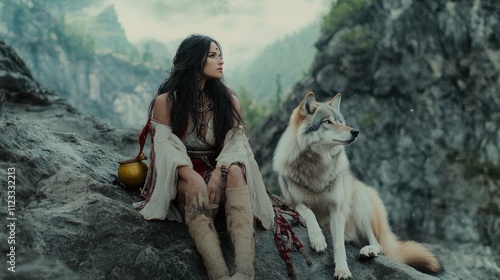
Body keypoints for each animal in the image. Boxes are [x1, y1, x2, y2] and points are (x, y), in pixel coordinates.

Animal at [272, 93, 440, 278]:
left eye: (341, 121)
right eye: (327, 122)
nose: (355, 131)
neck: (317, 168)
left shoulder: (337, 210)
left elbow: (339, 245)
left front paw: (342, 270)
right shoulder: (294, 204)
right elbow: (309, 214)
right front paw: (318, 239)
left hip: (360, 205)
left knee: (377, 243)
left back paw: (368, 250)